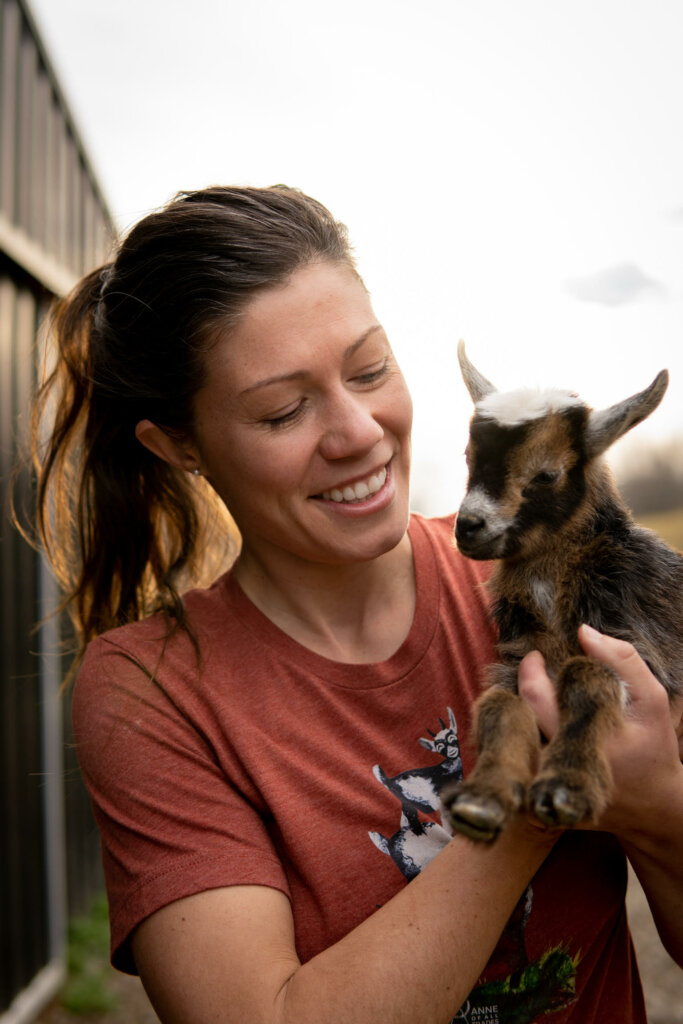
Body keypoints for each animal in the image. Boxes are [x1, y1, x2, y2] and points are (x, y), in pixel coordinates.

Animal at [440, 342, 679, 839]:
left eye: (547, 474)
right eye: (468, 455)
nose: (468, 526)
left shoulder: (646, 656)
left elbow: (587, 677)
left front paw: (567, 786)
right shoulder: (519, 660)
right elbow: (497, 706)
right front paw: (481, 800)